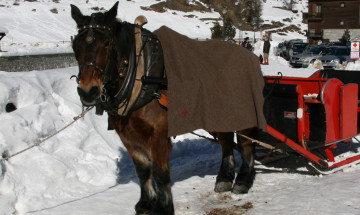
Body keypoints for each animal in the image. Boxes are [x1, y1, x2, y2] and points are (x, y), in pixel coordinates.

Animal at [71, 2, 258, 215]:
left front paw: (164, 207)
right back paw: (224, 179)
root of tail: (250, 55)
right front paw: (146, 203)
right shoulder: (128, 136)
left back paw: (243, 181)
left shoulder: (159, 135)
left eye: (106, 44)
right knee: (226, 141)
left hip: (244, 113)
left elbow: (161, 174)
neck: (140, 74)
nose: (88, 91)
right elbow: (143, 171)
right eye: (75, 46)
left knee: (246, 144)